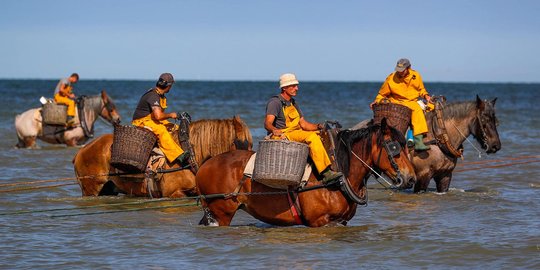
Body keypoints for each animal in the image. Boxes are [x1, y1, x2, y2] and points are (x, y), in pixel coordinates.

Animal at [196, 119, 416, 227]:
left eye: (406, 145)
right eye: (394, 147)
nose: (411, 177)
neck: (340, 173)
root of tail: (205, 166)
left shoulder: (341, 222)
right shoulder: (319, 222)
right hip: (222, 213)